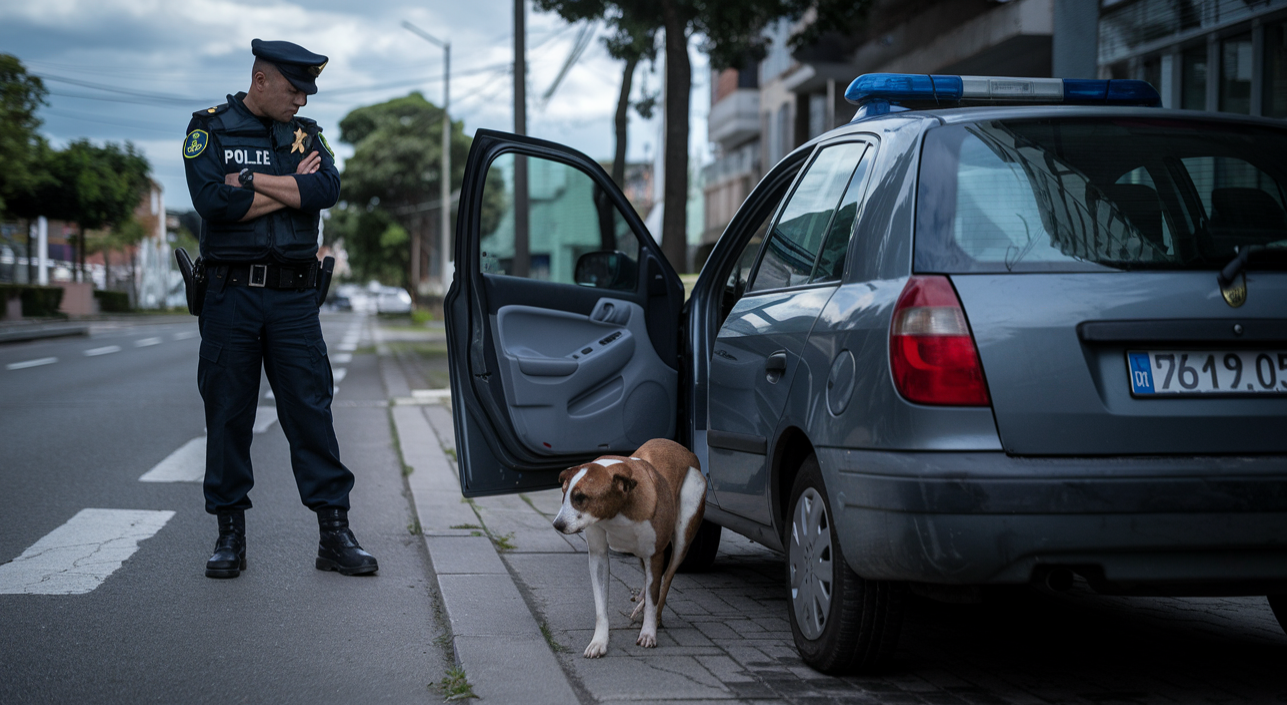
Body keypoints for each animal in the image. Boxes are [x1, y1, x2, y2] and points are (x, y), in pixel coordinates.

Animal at [550, 437, 705, 658]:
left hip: (684, 532)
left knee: (667, 578)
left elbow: (655, 594)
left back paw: (653, 614)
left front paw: (649, 631)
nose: (557, 524)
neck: (618, 512)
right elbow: (601, 606)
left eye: (581, 498)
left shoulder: (655, 555)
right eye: (564, 495)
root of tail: (687, 451)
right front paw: (599, 641)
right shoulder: (598, 555)